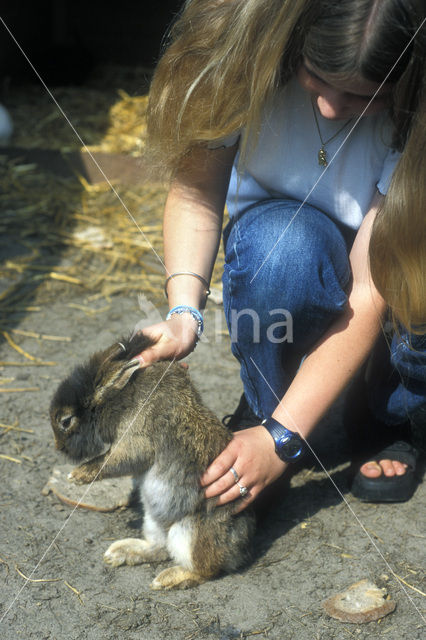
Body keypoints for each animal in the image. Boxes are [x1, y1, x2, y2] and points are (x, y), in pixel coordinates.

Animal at [50, 336, 256, 592]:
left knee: (204, 569)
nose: (58, 447)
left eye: (66, 421)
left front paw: (77, 475)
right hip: (153, 520)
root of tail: (240, 543)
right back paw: (120, 552)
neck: (114, 400)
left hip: (188, 532)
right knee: (159, 548)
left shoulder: (136, 443)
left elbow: (112, 460)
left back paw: (167, 579)